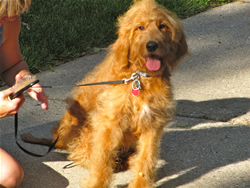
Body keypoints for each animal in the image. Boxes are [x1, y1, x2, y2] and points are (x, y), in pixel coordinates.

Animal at [23, 0, 188, 187]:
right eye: (140, 27)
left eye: (163, 26)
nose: (152, 45)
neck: (139, 77)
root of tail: (60, 139)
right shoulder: (109, 122)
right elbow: (101, 160)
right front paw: (97, 183)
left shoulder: (152, 124)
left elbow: (146, 158)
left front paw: (141, 182)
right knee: (84, 155)